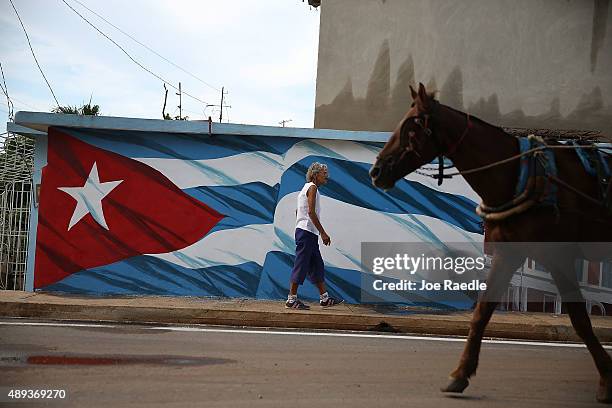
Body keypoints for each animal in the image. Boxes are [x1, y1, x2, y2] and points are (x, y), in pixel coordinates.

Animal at [368, 82, 612, 402]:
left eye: (412, 125)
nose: (376, 172)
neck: (519, 175)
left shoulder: (558, 255)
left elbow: (580, 319)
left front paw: (606, 378)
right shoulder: (509, 253)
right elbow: (482, 312)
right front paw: (460, 374)